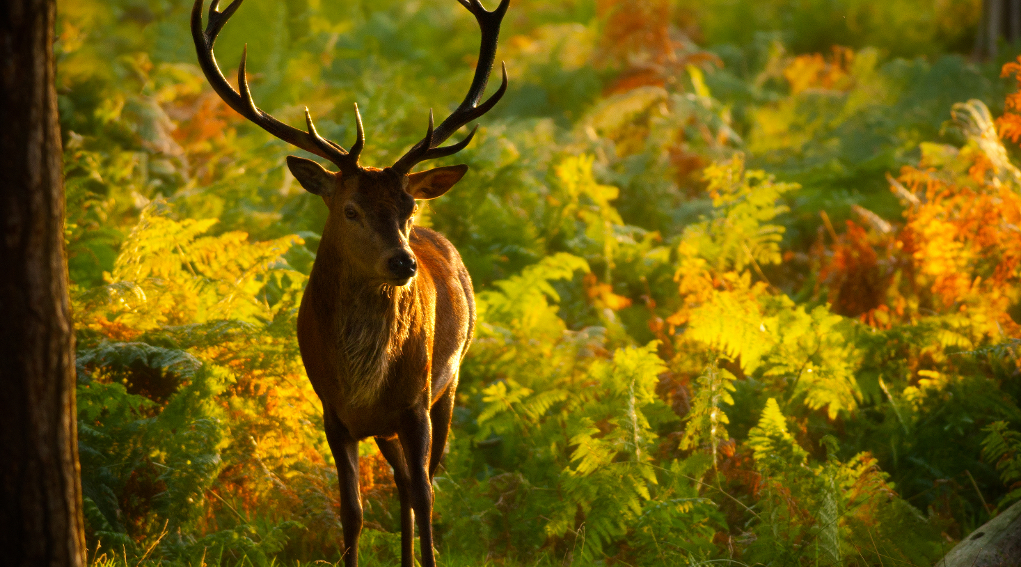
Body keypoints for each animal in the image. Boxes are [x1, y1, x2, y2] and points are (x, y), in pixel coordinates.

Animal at [191, 0, 509, 565]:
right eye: (350, 210)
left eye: (408, 207)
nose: (404, 263)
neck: (362, 382)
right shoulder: (333, 414)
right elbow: (353, 513)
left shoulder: (415, 403)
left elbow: (427, 498)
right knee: (401, 482)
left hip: (448, 384)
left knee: (419, 483)